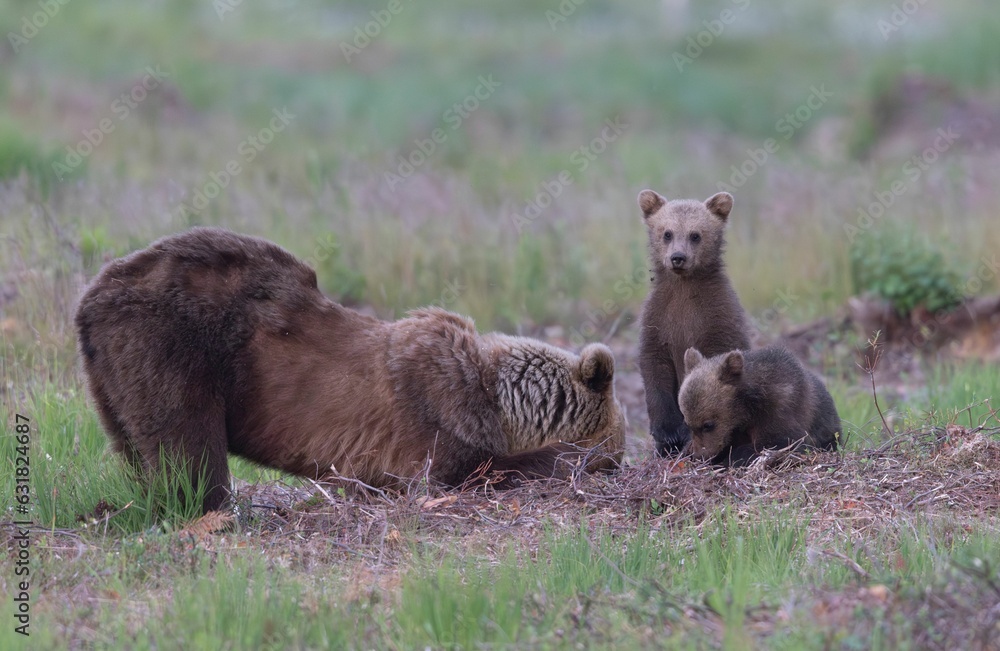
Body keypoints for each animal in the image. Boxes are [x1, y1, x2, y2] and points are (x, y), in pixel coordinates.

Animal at [74, 227, 626, 513]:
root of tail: (93, 297)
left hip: (112, 376)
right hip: (172, 343)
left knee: (136, 445)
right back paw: (208, 505)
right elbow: (470, 472)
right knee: (187, 448)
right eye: (616, 452)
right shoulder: (439, 422)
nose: (619, 464)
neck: (501, 400)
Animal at [636, 189, 753, 457]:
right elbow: (654, 367)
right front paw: (667, 433)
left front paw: (685, 431)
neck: (683, 288)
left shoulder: (716, 319)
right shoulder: (658, 320)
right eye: (667, 233)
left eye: (695, 234)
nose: (678, 257)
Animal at [678, 346, 841, 466]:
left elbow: (783, 440)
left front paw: (734, 457)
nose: (699, 455)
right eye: (687, 423)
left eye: (708, 425)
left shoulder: (779, 409)